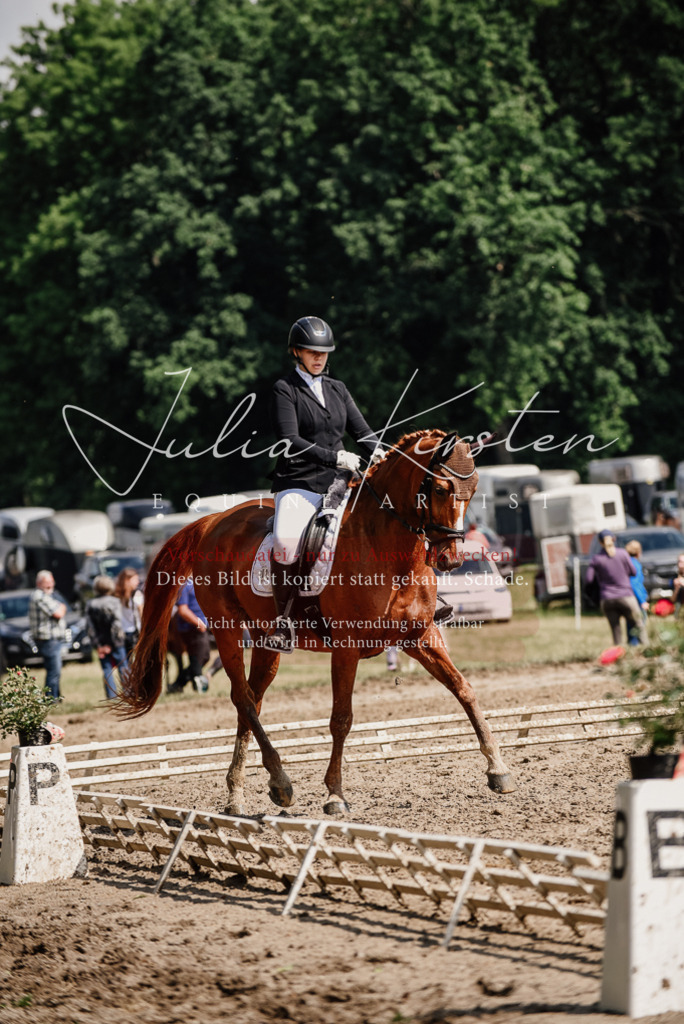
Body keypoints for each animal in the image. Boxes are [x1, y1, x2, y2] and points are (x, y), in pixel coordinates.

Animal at [118, 429, 515, 814]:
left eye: (473, 490)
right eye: (440, 488)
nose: (450, 559)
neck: (386, 549)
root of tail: (212, 522)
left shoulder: (420, 637)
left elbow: (464, 689)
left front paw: (498, 770)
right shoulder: (346, 648)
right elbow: (341, 718)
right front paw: (335, 795)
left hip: (266, 640)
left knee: (251, 701)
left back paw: (239, 794)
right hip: (226, 628)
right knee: (242, 697)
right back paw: (280, 783)